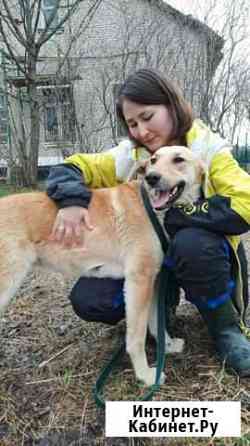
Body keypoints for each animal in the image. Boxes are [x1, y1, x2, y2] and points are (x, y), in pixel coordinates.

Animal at [0, 148, 203, 386]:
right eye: (153, 160)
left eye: (178, 159)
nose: (152, 177)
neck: (151, 208)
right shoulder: (138, 282)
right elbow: (136, 337)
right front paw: (145, 375)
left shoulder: (152, 283)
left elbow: (156, 323)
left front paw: (168, 347)